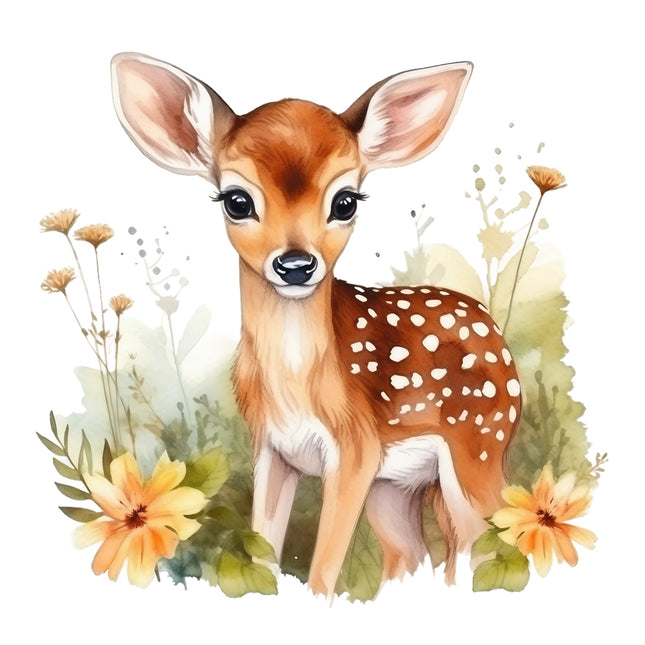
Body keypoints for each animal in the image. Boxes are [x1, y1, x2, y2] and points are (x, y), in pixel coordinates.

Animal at [111, 53, 521, 599]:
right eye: (236, 200)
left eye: (345, 201)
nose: (296, 265)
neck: (296, 385)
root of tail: (493, 331)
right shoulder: (272, 449)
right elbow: (265, 545)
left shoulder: (355, 448)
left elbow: (324, 570)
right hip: (398, 484)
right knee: (413, 555)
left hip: (478, 444)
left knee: (485, 543)